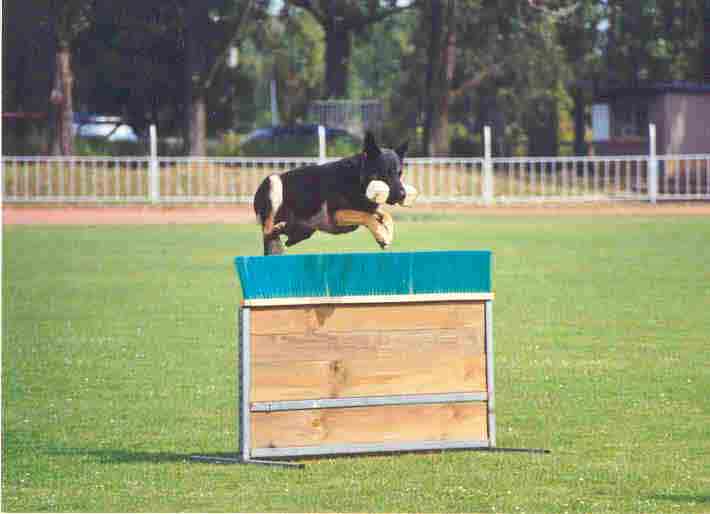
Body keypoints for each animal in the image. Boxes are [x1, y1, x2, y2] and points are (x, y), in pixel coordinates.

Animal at [253, 132, 410, 255]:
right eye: (385, 173)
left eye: (399, 173)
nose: (403, 195)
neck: (358, 179)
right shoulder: (337, 214)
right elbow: (367, 216)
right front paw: (382, 234)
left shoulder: (368, 208)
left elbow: (386, 215)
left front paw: (387, 234)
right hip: (273, 181)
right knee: (267, 230)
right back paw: (277, 227)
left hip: (305, 231)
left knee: (284, 238)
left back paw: (283, 228)